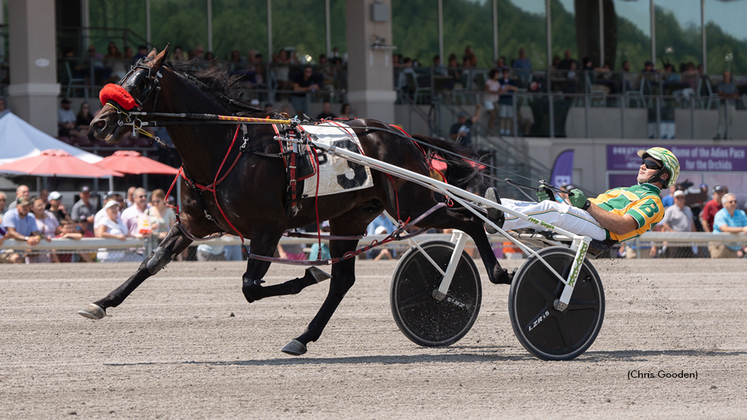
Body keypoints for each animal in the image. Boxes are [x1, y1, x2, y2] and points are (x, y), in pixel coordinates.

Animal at [82, 46, 516, 354]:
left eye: (142, 82)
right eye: (122, 76)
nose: (98, 123)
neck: (227, 145)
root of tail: (401, 134)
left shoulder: (268, 228)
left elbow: (251, 287)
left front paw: (308, 274)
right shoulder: (191, 225)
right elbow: (150, 264)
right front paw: (101, 302)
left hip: (412, 204)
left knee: (470, 220)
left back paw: (499, 272)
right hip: (351, 217)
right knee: (343, 281)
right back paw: (304, 337)